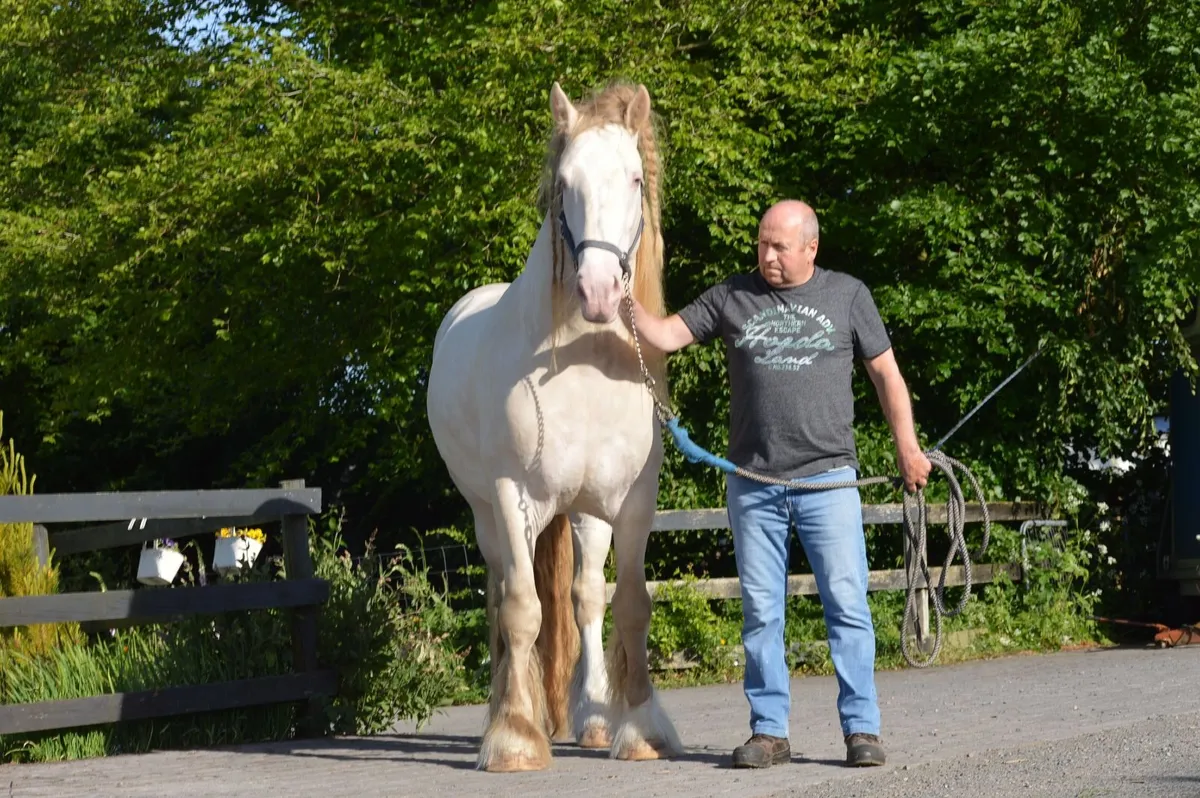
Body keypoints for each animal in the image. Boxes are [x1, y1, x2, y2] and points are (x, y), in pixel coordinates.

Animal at [425, 81, 682, 772]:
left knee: (585, 597)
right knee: (502, 597)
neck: (584, 365)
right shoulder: (514, 499)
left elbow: (631, 605)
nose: (597, 290)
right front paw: (515, 738)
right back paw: (509, 714)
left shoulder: (634, 503)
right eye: (564, 182)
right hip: (489, 514)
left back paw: (591, 717)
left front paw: (641, 730)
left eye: (634, 178)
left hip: (587, 514)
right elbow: (520, 611)